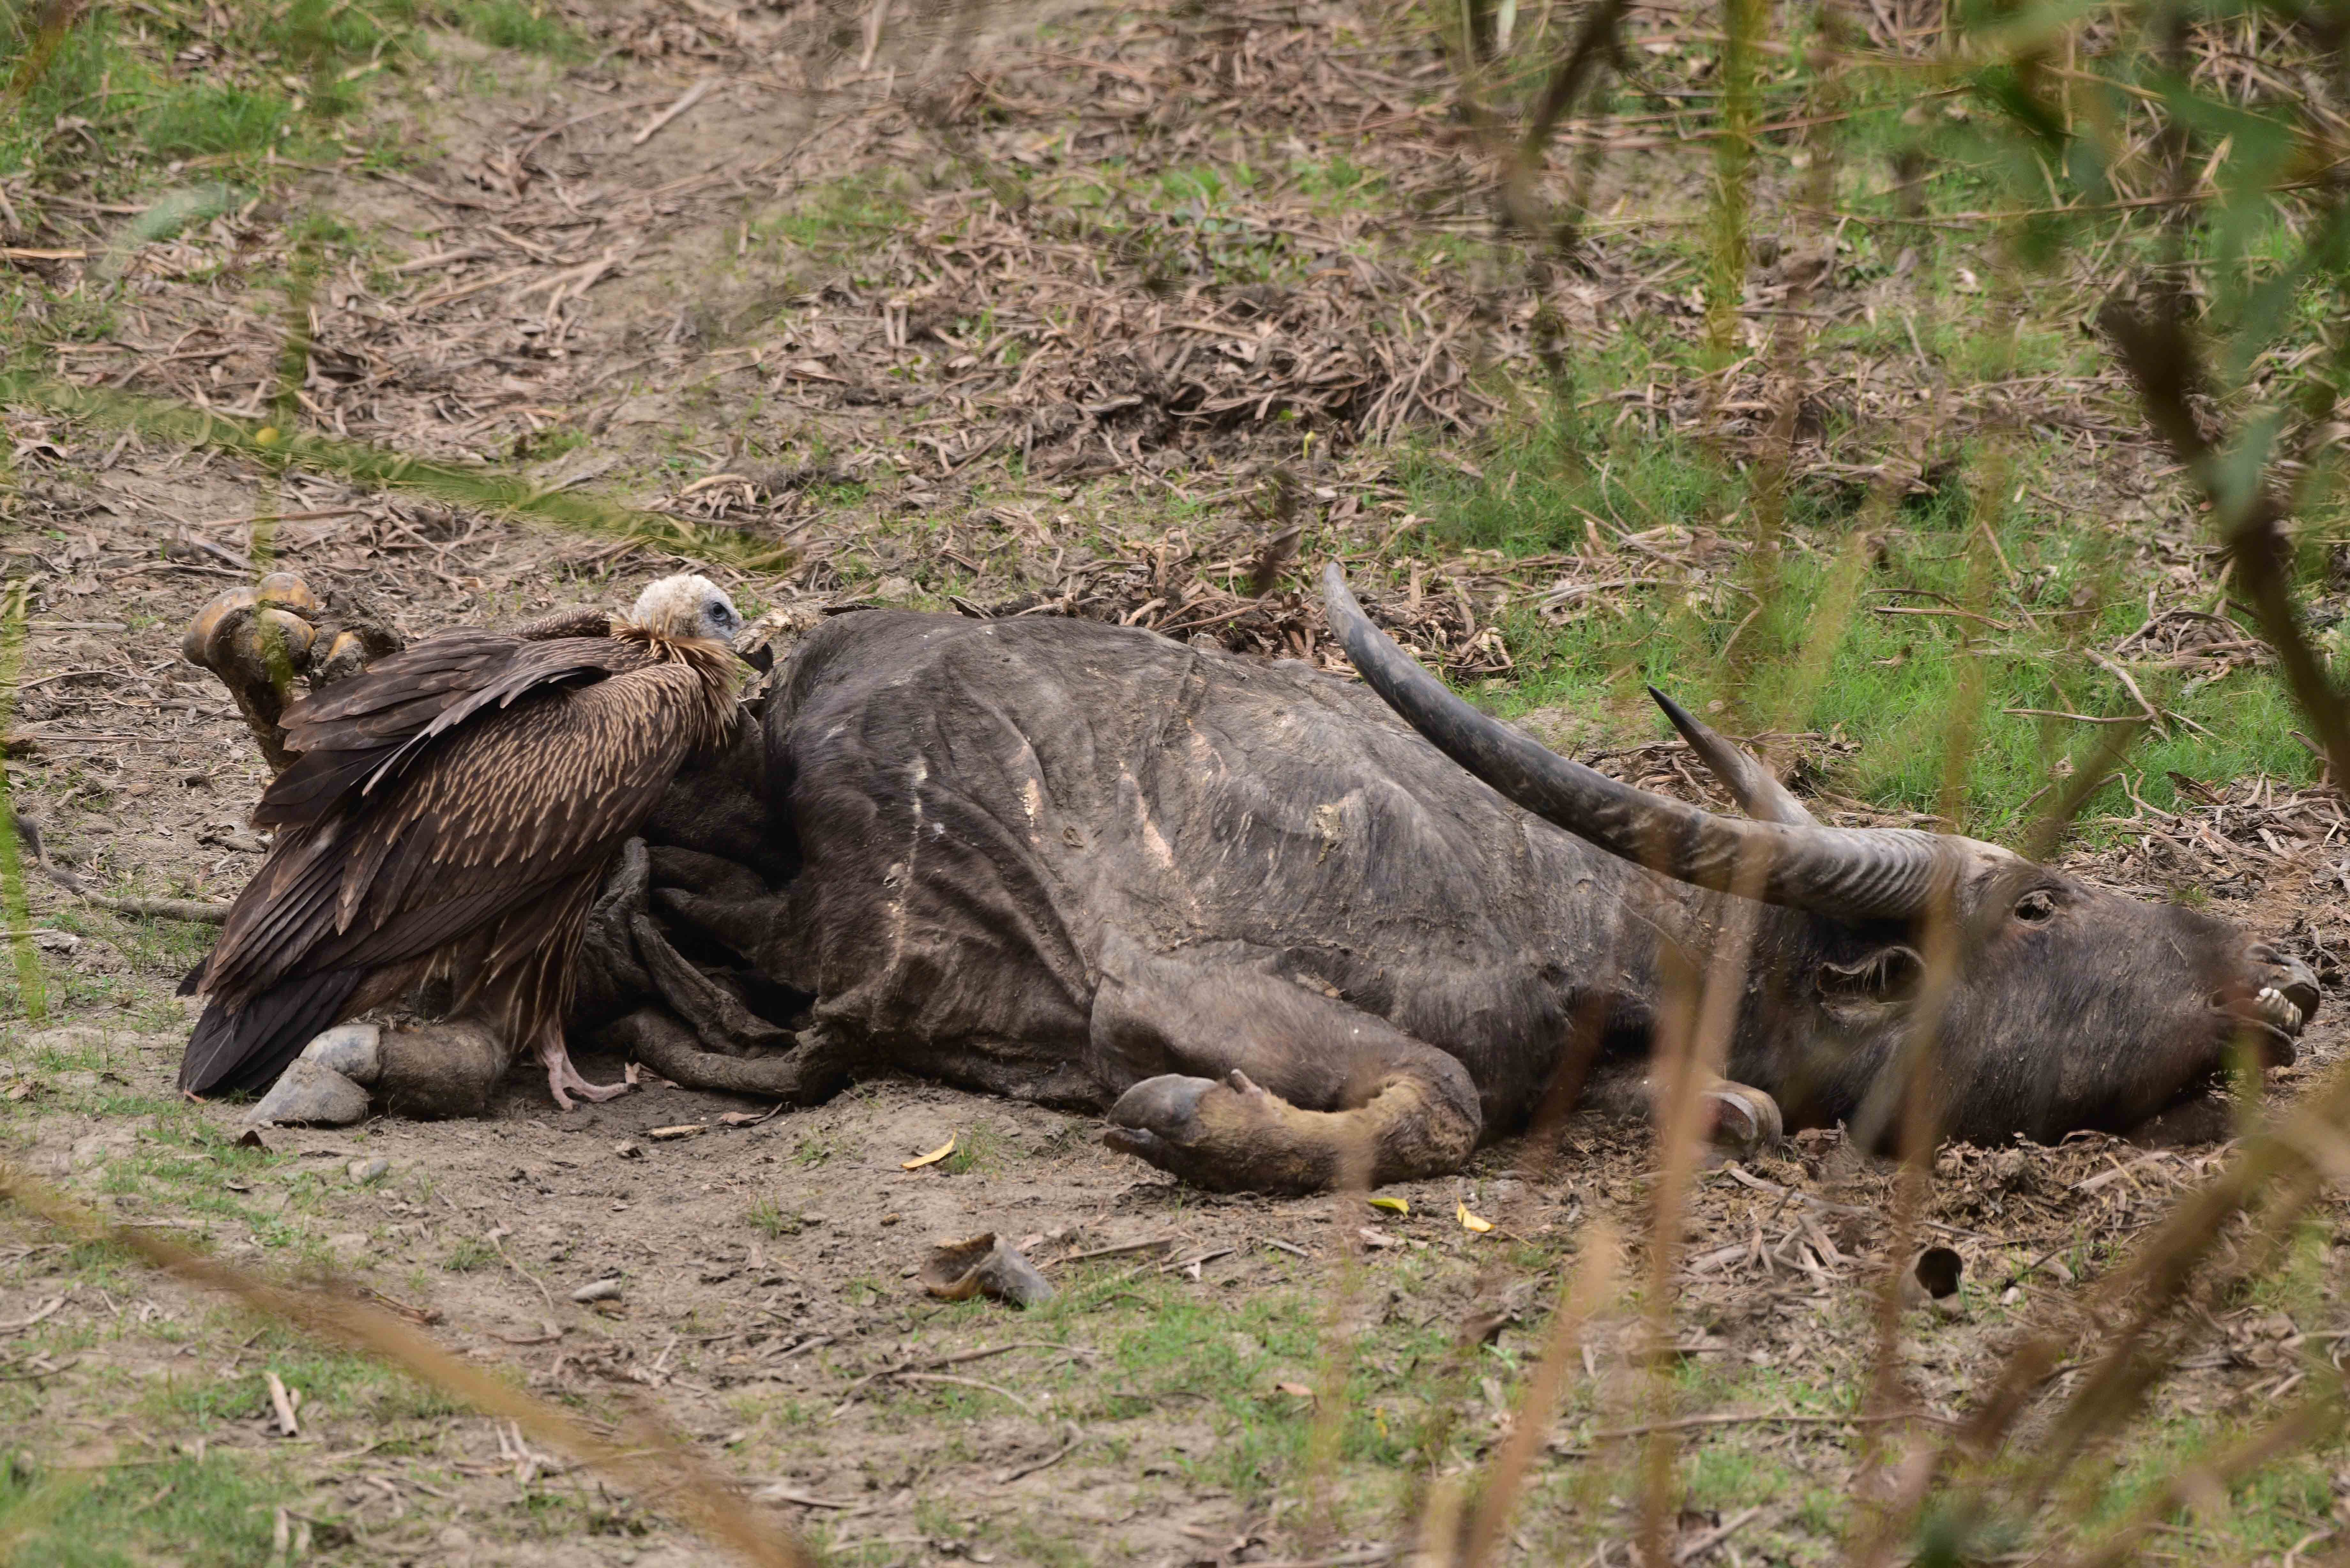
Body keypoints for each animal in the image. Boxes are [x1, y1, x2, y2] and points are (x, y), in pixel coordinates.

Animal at [193, 570, 2318, 1193]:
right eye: (2032, 906)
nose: (2281, 964)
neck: (1591, 925)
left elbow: (1702, 1109)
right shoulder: (1175, 974)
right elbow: (1434, 1094)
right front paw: (1185, 1124)